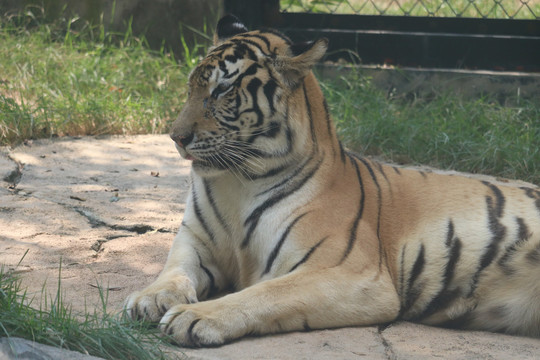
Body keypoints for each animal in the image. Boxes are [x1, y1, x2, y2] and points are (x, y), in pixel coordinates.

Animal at [123, 15, 540, 348]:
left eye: (222, 90)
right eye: (191, 87)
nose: (176, 137)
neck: (237, 183)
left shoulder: (350, 272)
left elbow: (266, 293)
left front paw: (195, 317)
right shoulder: (197, 240)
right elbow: (174, 270)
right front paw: (148, 299)